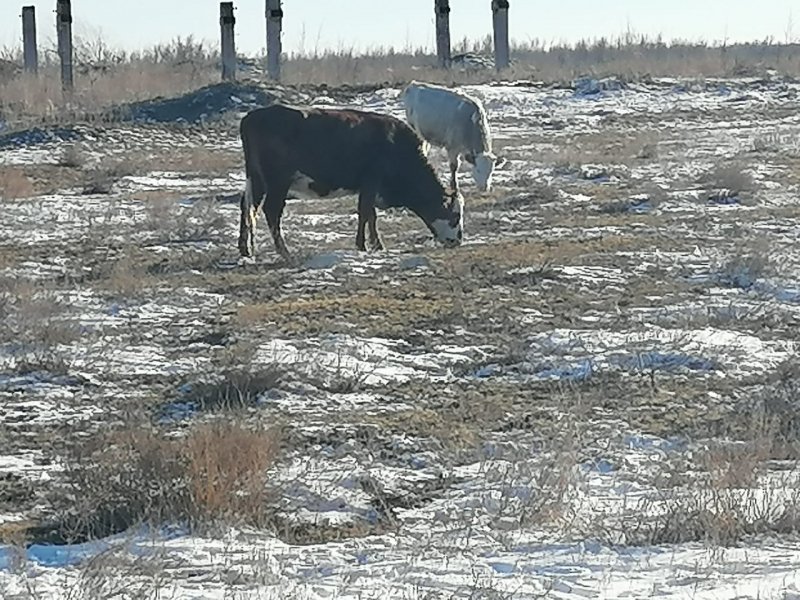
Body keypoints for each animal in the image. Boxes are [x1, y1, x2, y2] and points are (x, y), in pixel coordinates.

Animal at [234, 105, 466, 260]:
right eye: (455, 216)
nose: (457, 241)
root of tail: (252, 117)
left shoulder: (368, 186)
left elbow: (369, 214)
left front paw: (373, 244)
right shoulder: (372, 180)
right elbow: (366, 212)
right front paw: (366, 245)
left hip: (256, 179)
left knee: (247, 206)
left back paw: (246, 249)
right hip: (277, 182)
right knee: (270, 211)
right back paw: (285, 252)